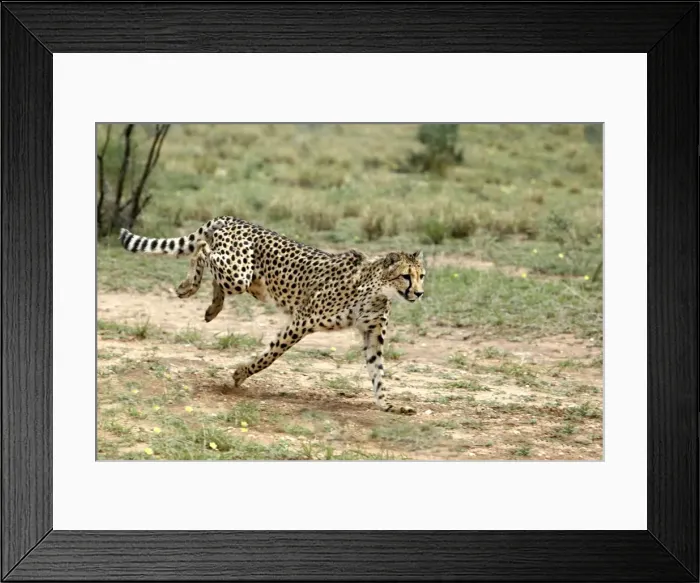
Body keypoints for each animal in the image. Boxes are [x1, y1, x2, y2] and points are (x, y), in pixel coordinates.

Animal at [119, 216, 426, 415]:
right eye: (405, 276)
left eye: (421, 276)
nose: (420, 293)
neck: (378, 291)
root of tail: (235, 219)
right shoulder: (302, 320)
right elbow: (271, 355)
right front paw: (241, 374)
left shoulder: (372, 335)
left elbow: (378, 373)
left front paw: (388, 405)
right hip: (238, 273)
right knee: (204, 250)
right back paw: (189, 286)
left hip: (244, 280)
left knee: (213, 267)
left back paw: (213, 307)